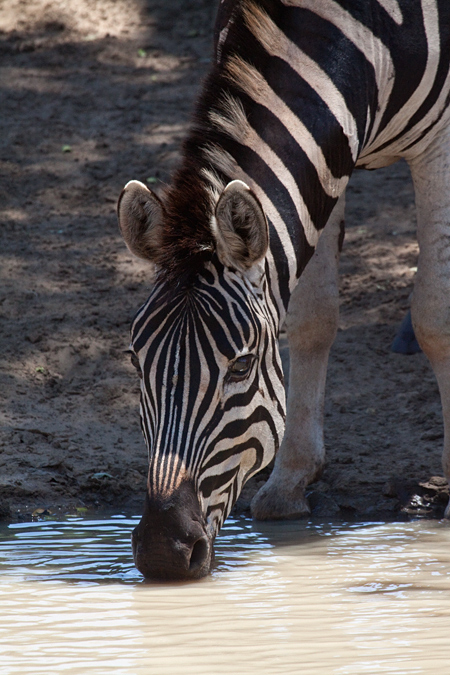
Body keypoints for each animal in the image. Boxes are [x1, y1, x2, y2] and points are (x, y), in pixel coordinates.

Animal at [118, 0, 450, 580]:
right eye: (137, 362)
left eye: (242, 367)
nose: (164, 552)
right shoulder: (328, 157)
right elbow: (312, 316)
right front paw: (290, 480)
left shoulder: (438, 141)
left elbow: (436, 316)